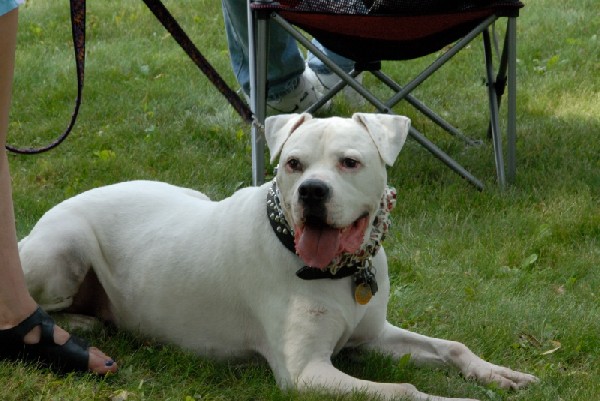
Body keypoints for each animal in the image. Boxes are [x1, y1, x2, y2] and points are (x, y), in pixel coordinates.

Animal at [18, 113, 536, 400]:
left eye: (350, 162)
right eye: (293, 164)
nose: (312, 192)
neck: (338, 270)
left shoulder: (372, 337)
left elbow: (452, 347)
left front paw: (498, 375)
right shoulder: (308, 373)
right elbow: (404, 391)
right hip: (63, 249)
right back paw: (83, 323)